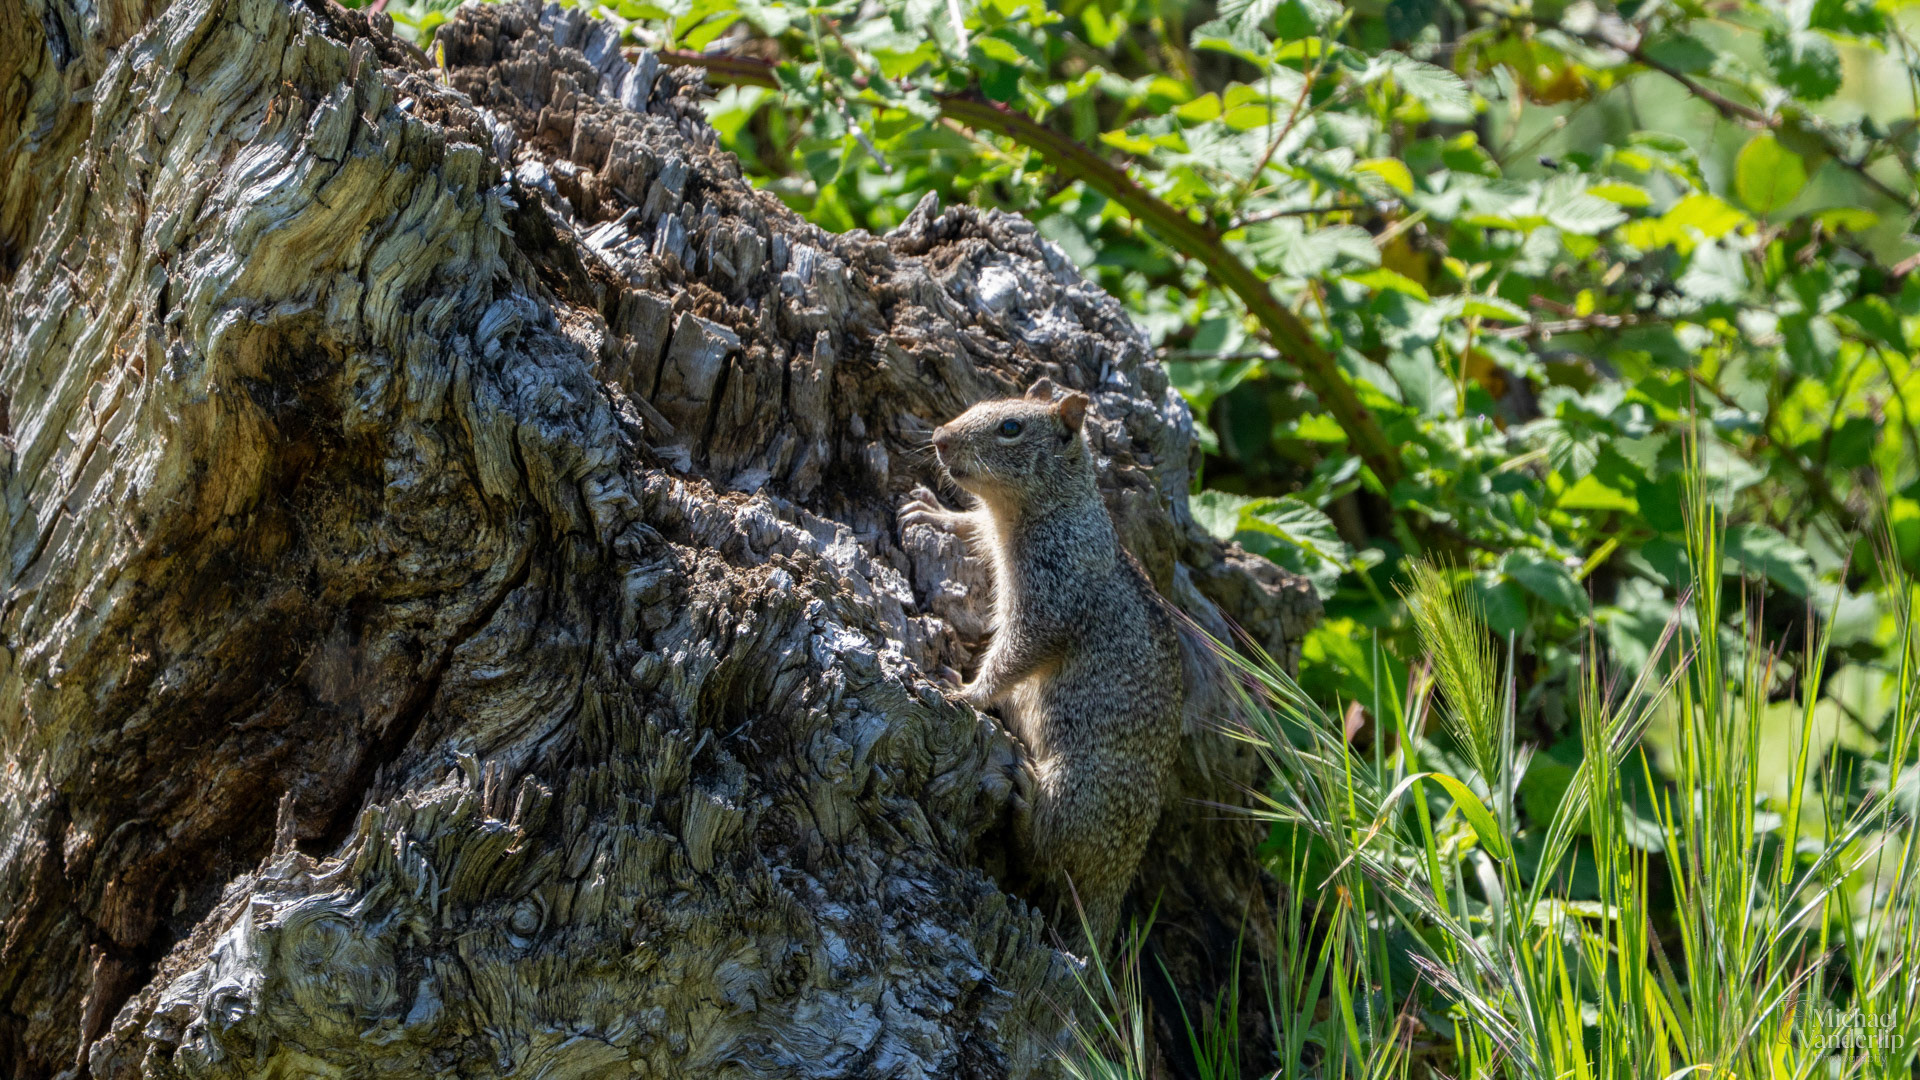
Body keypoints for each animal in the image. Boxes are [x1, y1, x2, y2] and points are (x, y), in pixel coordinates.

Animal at [899, 380, 1184, 952]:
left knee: (1049, 852)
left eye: (1011, 427)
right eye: (979, 404)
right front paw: (932, 511)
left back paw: (1028, 806)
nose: (939, 437)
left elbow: (1017, 654)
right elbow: (970, 525)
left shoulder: (1052, 597)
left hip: (1078, 785)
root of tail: (1118, 877)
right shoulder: (991, 531)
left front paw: (968, 692)